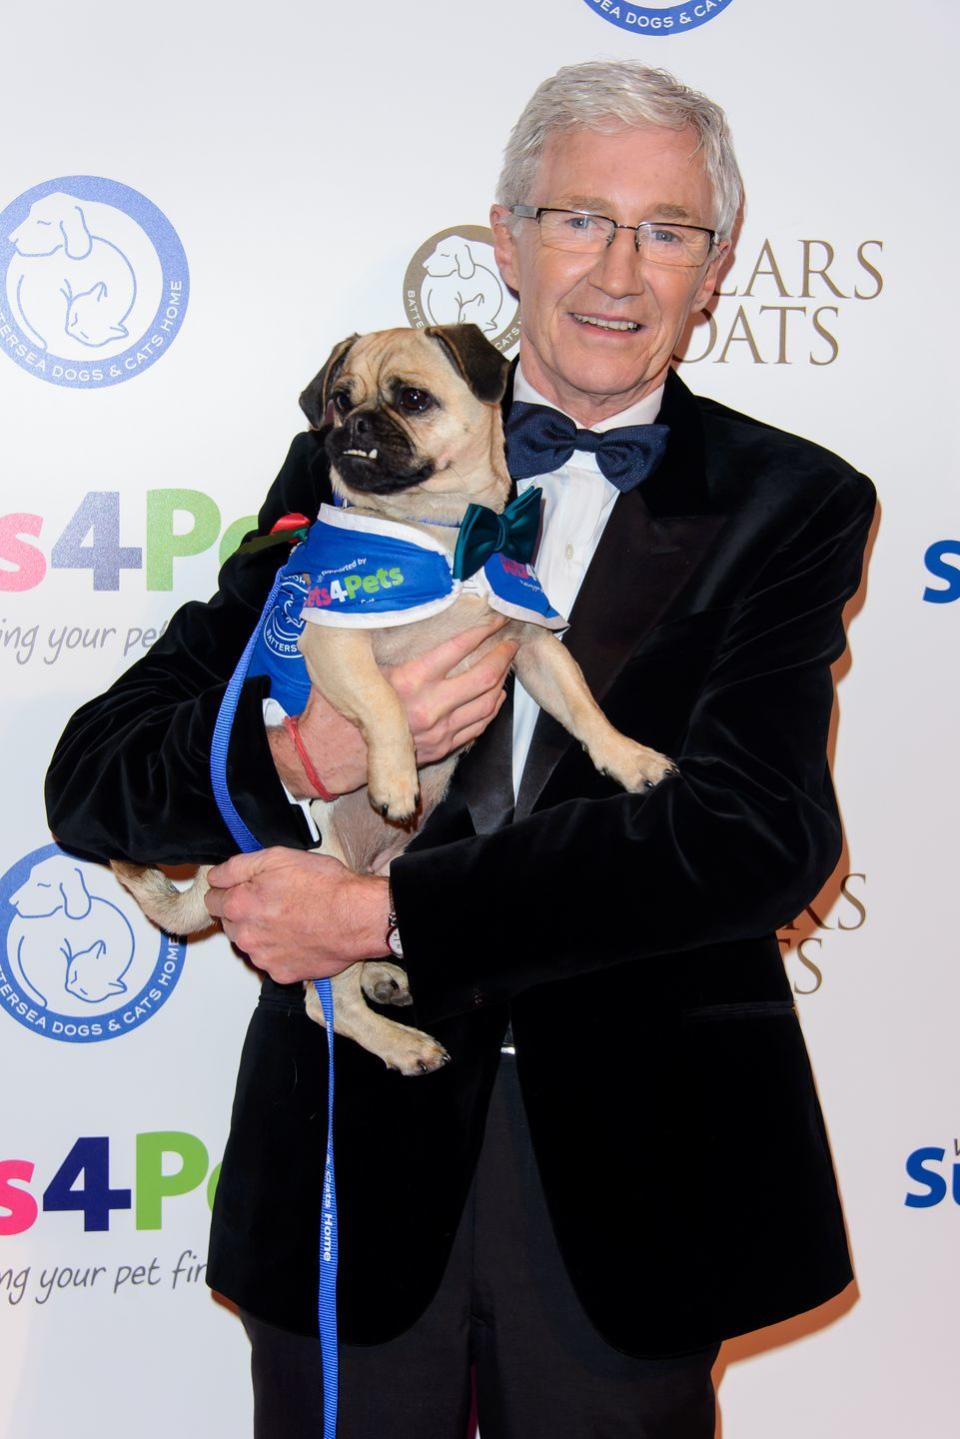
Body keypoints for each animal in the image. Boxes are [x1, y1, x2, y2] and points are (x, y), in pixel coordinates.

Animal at [112, 323, 673, 1070]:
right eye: (338, 398)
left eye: (411, 399)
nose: (353, 424)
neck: (444, 532)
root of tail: (217, 865)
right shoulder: (336, 642)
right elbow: (382, 702)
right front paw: (396, 777)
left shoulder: (534, 645)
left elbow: (584, 707)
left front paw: (629, 759)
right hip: (316, 871)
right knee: (329, 1005)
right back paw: (402, 1043)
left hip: (384, 869)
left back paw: (384, 972)